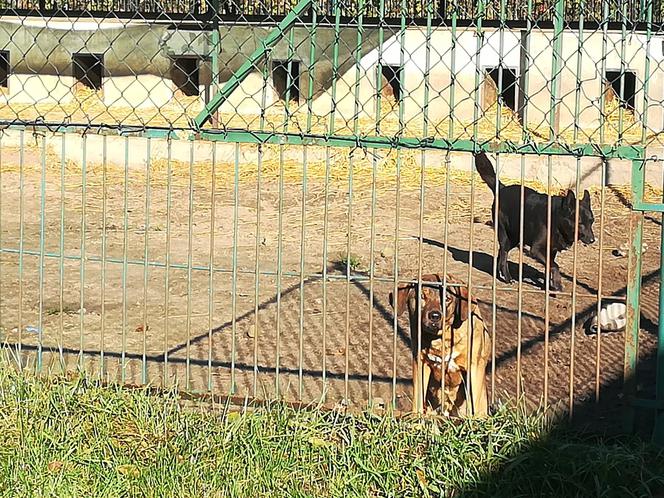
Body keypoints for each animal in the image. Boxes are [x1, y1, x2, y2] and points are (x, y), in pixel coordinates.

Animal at [390, 272, 492, 416]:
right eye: (422, 296)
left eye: (447, 299)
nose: (435, 316)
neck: (442, 339)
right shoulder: (420, 362)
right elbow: (418, 396)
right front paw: (416, 415)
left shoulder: (475, 365)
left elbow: (478, 403)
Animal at [472, 152, 596, 292]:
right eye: (580, 223)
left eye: (592, 221)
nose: (593, 240)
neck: (556, 219)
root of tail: (502, 189)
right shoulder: (536, 250)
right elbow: (555, 266)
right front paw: (557, 283)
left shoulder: (551, 251)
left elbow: (549, 267)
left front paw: (547, 286)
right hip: (506, 236)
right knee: (503, 255)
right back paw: (508, 278)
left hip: (515, 238)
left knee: (500, 254)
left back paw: (500, 274)